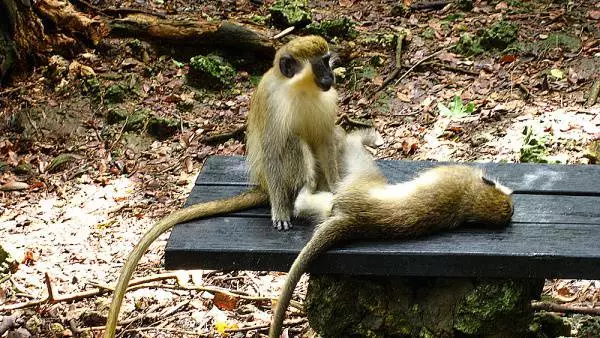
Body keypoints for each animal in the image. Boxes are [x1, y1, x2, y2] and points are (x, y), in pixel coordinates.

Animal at [105, 35, 340, 336]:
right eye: (320, 64)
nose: (331, 75)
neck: (300, 90)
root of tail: (261, 186)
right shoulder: (273, 102)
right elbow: (274, 149)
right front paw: (280, 211)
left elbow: (325, 141)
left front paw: (337, 191)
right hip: (270, 177)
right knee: (291, 144)